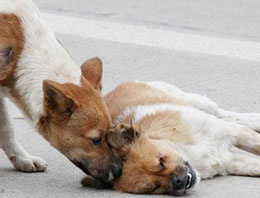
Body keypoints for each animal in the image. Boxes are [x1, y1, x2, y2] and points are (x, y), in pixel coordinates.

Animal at [0, 0, 121, 184]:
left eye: (109, 135)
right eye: (95, 140)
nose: (118, 171)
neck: (21, 48)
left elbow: (6, 128)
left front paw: (22, 159)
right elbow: (7, 126)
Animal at [82, 80, 260, 195]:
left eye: (161, 160)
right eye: (154, 188)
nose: (178, 182)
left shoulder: (233, 133)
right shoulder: (231, 162)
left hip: (198, 102)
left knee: (224, 114)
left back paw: (254, 119)